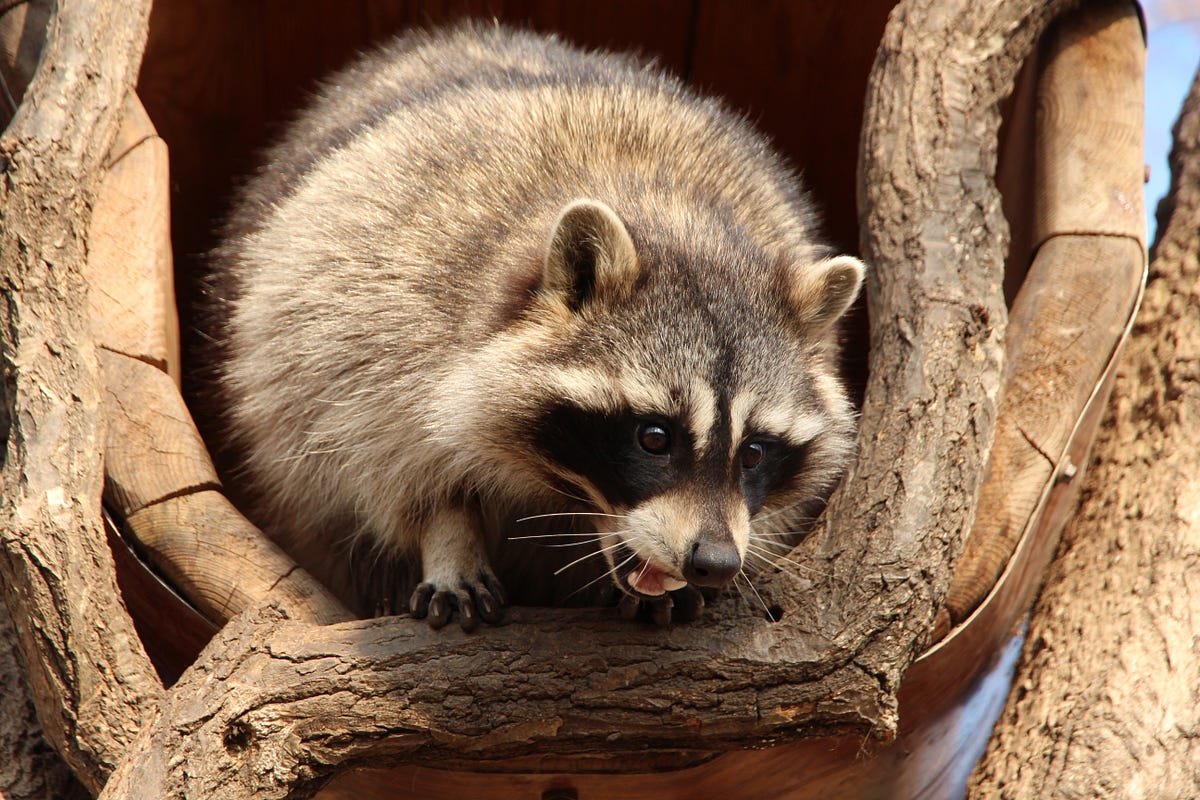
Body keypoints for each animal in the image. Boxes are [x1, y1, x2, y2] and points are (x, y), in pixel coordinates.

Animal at [208, 23, 864, 631]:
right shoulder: (373, 317)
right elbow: (382, 458)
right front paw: (447, 534)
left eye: (754, 452)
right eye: (654, 436)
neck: (677, 220)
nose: (715, 563)